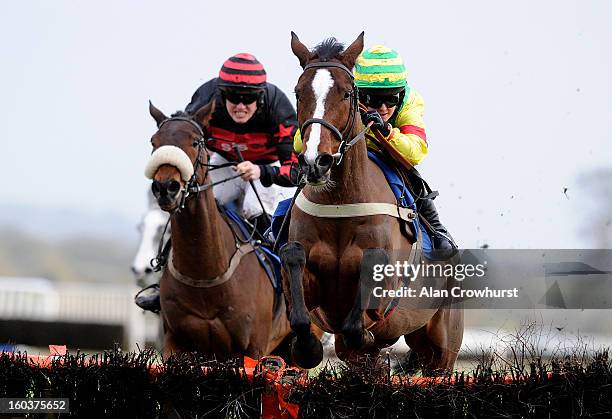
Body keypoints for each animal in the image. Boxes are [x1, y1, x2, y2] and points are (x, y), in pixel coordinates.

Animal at [147, 100, 292, 360]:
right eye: (154, 142)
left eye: (196, 141)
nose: (166, 187)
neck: (205, 274)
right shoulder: (174, 342)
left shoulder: (252, 349)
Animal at [282, 34, 464, 372]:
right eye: (299, 92)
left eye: (346, 93)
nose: (316, 162)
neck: (340, 205)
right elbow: (295, 273)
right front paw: (308, 347)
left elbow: (361, 320)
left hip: (443, 347)